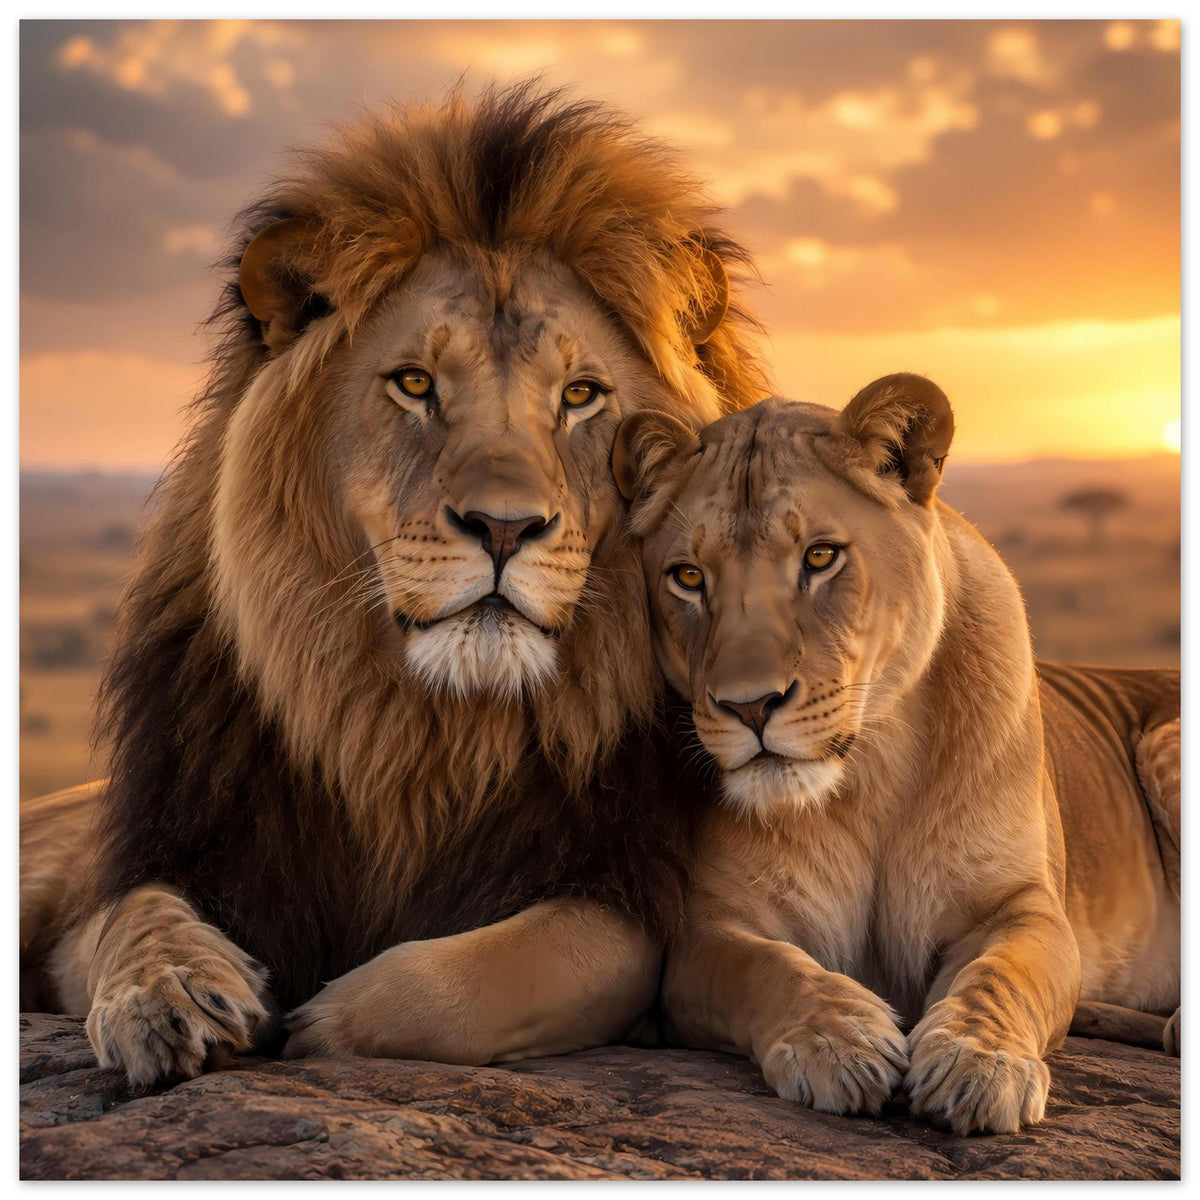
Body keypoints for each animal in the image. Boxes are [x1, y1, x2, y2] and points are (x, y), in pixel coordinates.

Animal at [19, 83, 770, 1088]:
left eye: (580, 396)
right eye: (415, 384)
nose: (505, 527)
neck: (419, 737)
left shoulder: (623, 898)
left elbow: (482, 976)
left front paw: (319, 1023)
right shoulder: (157, 856)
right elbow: (130, 917)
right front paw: (169, 996)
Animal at [612, 375, 1179, 1135]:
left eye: (821, 557)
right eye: (688, 577)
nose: (749, 706)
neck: (868, 774)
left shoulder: (1024, 907)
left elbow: (1000, 975)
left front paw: (977, 1063)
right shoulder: (707, 933)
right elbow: (770, 969)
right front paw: (839, 1040)